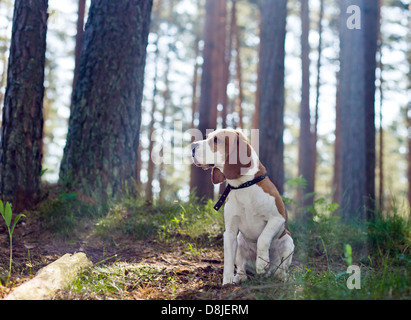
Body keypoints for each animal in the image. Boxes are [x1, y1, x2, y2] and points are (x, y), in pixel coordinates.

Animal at [192, 128, 294, 284]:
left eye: (216, 140)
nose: (192, 146)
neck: (243, 185)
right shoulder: (230, 232)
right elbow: (228, 261)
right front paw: (226, 283)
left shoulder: (277, 218)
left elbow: (263, 238)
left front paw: (262, 263)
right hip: (240, 242)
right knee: (241, 268)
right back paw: (239, 277)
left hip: (288, 241)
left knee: (280, 268)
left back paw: (279, 275)